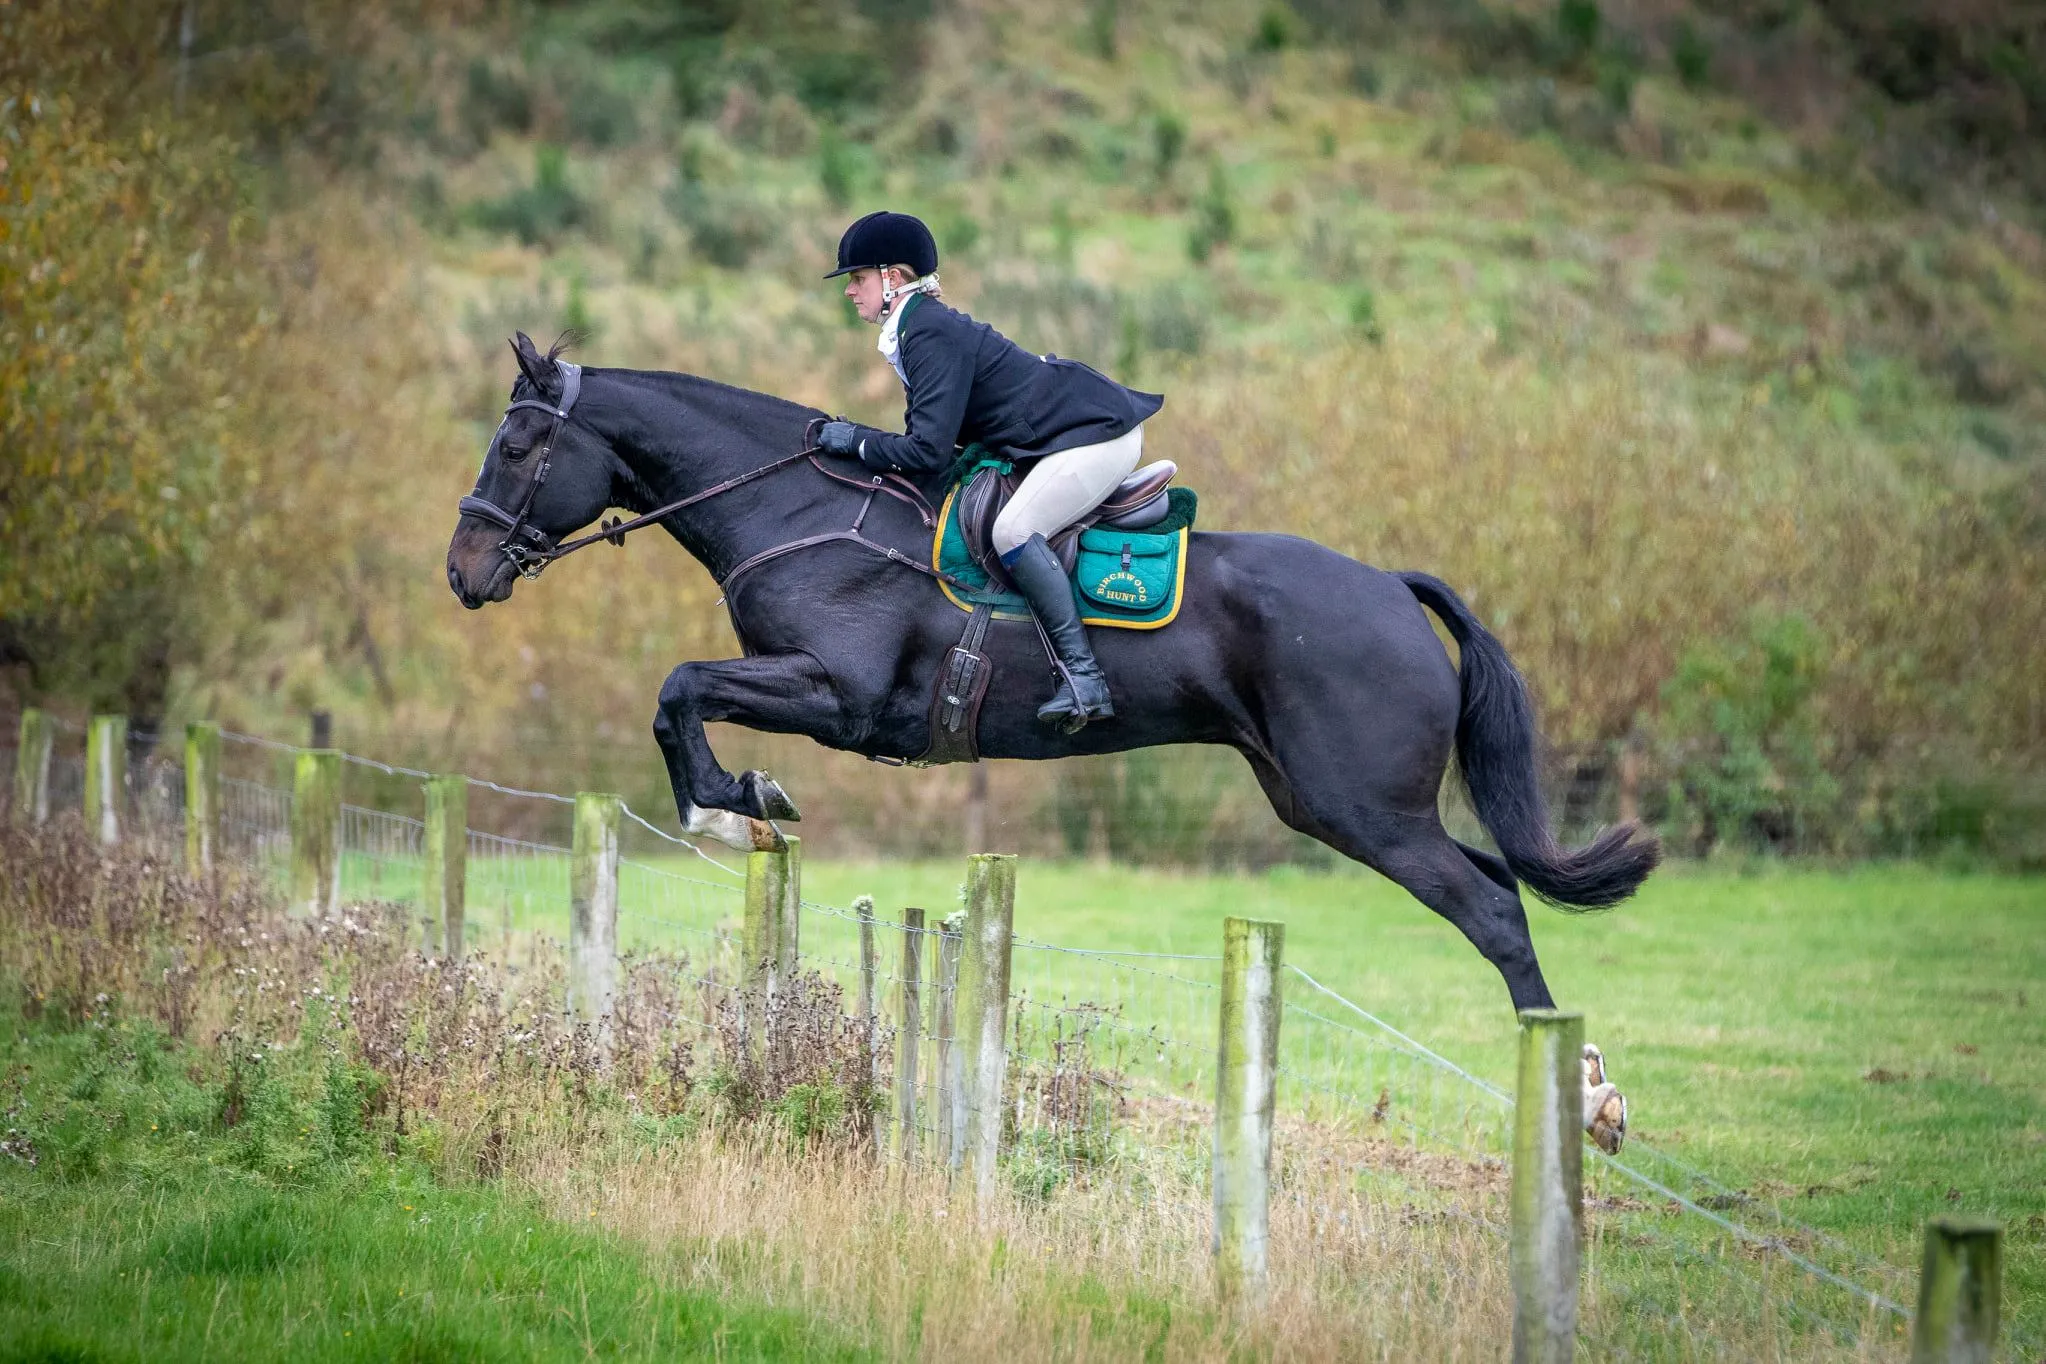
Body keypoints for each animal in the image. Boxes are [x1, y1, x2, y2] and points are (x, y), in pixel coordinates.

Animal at [452, 333, 1661, 1022]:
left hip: (1364, 803)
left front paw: (731, 801)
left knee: (1490, 909)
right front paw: (734, 804)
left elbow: (680, 687)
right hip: (1325, 801)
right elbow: (682, 694)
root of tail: (1391, 588)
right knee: (1497, 885)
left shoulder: (840, 695)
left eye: (516, 447)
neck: (792, 506)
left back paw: (1577, 1093)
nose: (463, 571)